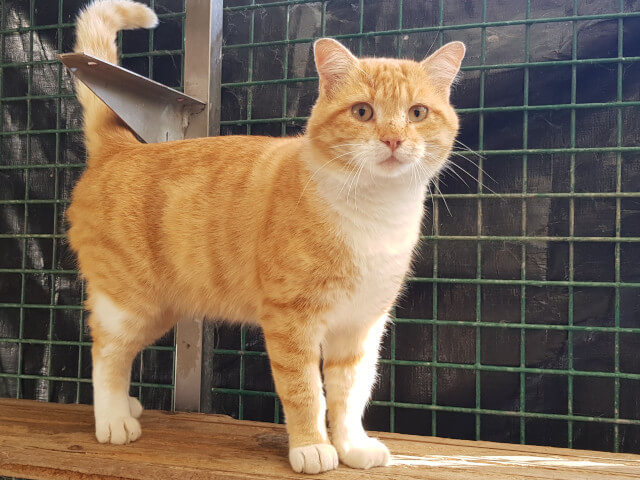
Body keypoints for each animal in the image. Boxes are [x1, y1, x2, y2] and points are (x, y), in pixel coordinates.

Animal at [67, 0, 465, 474]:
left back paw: (123, 407)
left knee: (121, 354)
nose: (393, 140)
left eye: (417, 113)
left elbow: (350, 395)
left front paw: (352, 445)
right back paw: (111, 418)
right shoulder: (291, 319)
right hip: (130, 302)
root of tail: (123, 148)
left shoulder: (361, 327)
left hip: (160, 310)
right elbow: (306, 392)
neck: (375, 213)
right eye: (362, 112)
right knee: (106, 354)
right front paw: (312, 446)